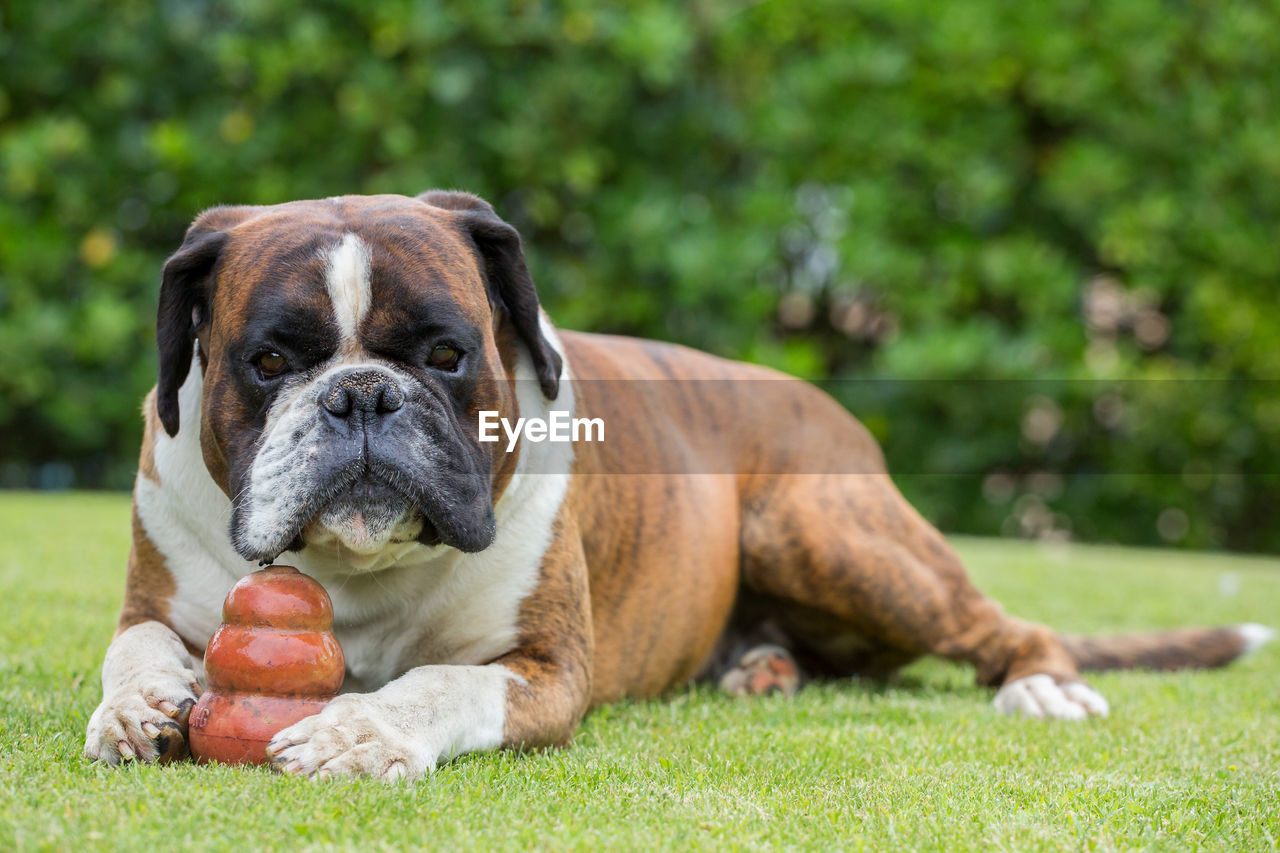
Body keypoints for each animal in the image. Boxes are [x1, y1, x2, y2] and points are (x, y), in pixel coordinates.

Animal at [85, 190, 1274, 778]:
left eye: (445, 353)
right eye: (269, 362)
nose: (362, 398)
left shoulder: (544, 671)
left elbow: (439, 683)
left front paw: (360, 730)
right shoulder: (155, 595)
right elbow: (133, 646)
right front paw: (139, 707)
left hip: (825, 532)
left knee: (1004, 625)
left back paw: (1041, 684)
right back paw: (762, 668)